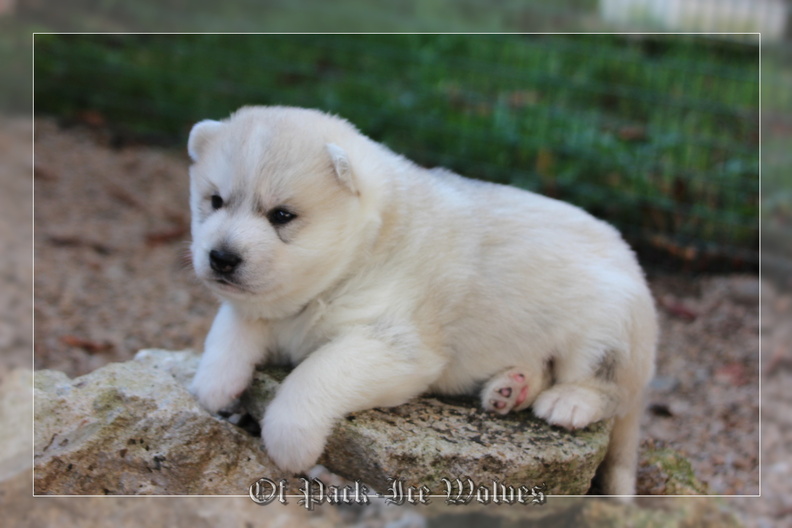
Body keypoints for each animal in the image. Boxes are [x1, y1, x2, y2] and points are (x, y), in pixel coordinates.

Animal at [187, 106, 656, 496]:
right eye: (215, 200)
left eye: (282, 215)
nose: (221, 257)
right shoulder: (262, 307)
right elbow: (231, 327)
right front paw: (214, 384)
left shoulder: (396, 344)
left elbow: (318, 372)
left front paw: (288, 441)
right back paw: (511, 388)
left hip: (607, 327)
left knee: (610, 389)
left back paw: (569, 401)